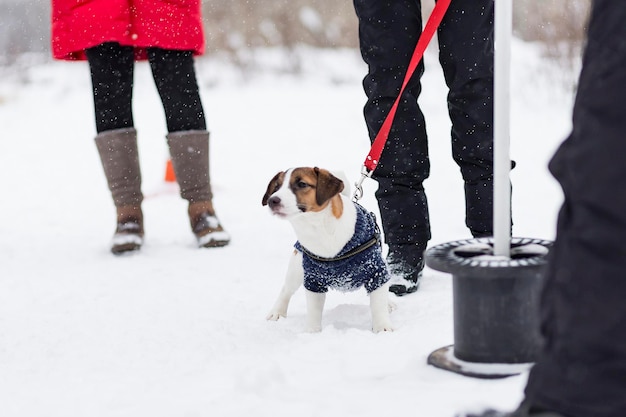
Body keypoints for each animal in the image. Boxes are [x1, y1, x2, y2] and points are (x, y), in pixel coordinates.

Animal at [260, 166, 392, 332]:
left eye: (302, 184)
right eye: (276, 187)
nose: (272, 200)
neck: (320, 230)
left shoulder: (376, 271)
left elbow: (378, 304)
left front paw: (382, 328)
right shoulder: (313, 280)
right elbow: (314, 311)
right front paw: (312, 332)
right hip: (296, 268)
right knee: (286, 289)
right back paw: (277, 312)